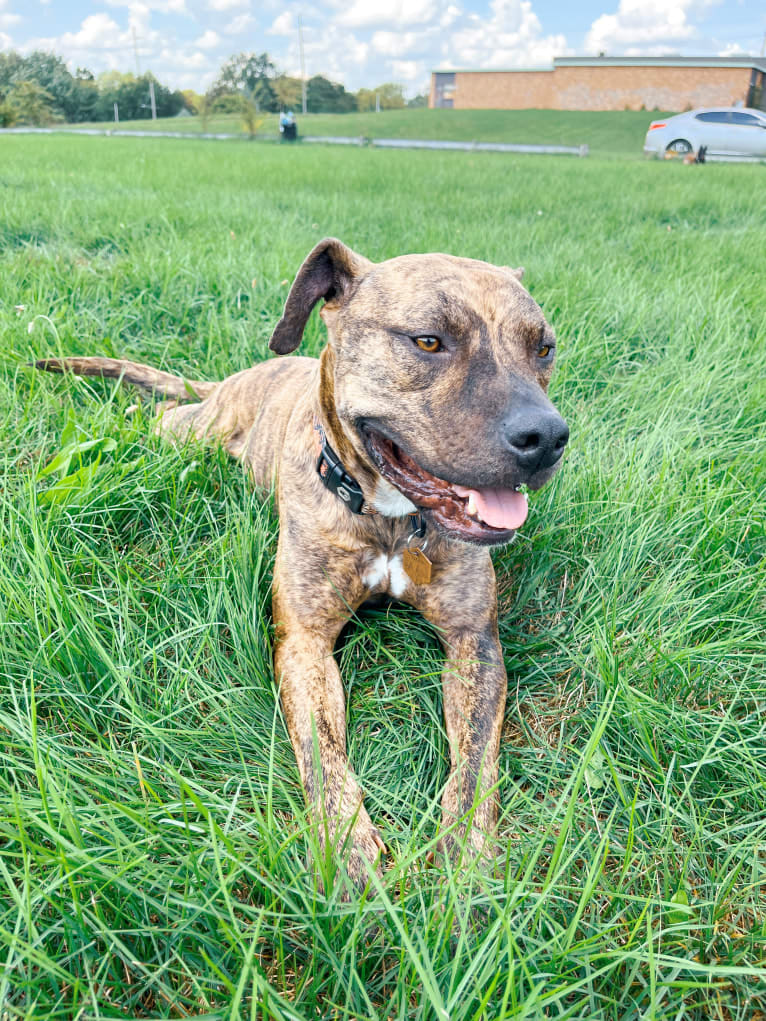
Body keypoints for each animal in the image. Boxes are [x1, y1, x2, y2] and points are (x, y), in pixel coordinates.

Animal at [39, 234, 571, 890]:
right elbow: (322, 747)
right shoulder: (305, 642)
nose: (547, 437)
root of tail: (237, 376)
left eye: (543, 348)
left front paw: (465, 848)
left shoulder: (475, 641)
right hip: (194, 430)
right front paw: (347, 847)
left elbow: (475, 757)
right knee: (162, 418)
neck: (390, 520)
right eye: (428, 341)